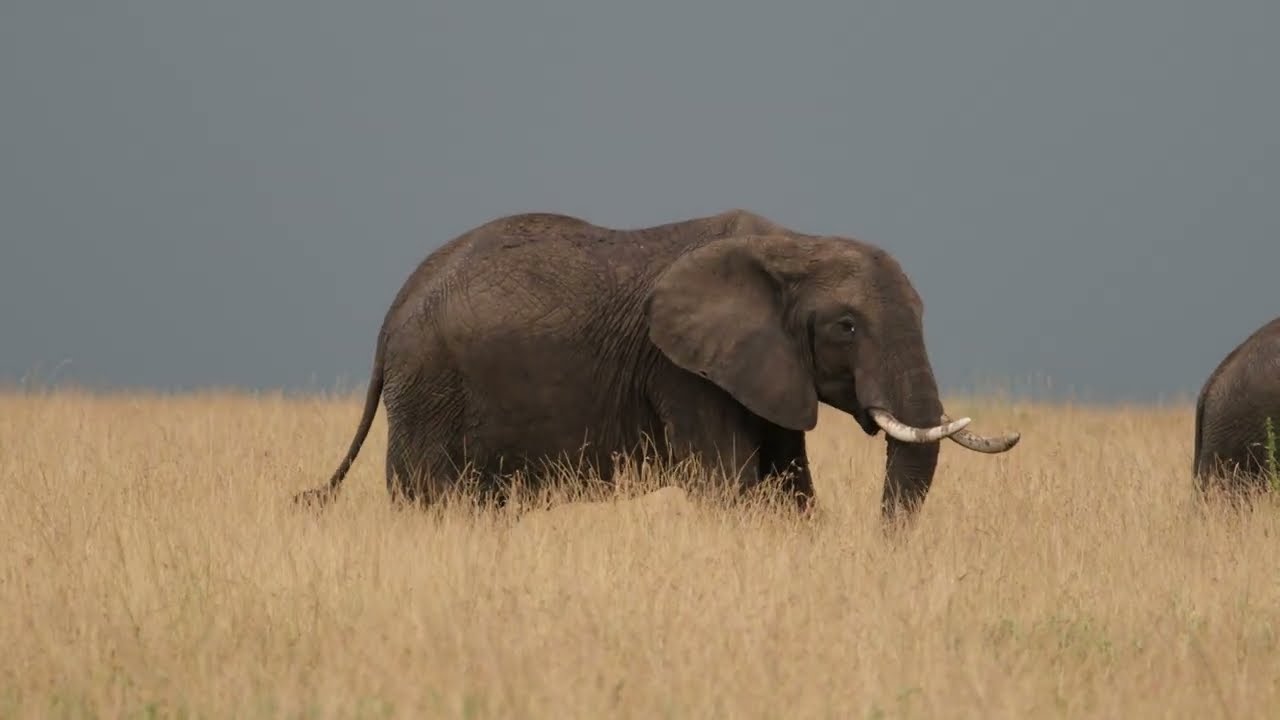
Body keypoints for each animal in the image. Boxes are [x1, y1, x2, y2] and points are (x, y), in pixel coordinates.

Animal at [294, 208, 1021, 522]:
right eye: (846, 328)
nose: (879, 542)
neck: (793, 244)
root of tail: (396, 307)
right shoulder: (681, 371)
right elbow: (727, 483)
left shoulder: (764, 366)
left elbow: (788, 483)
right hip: (430, 385)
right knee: (430, 496)